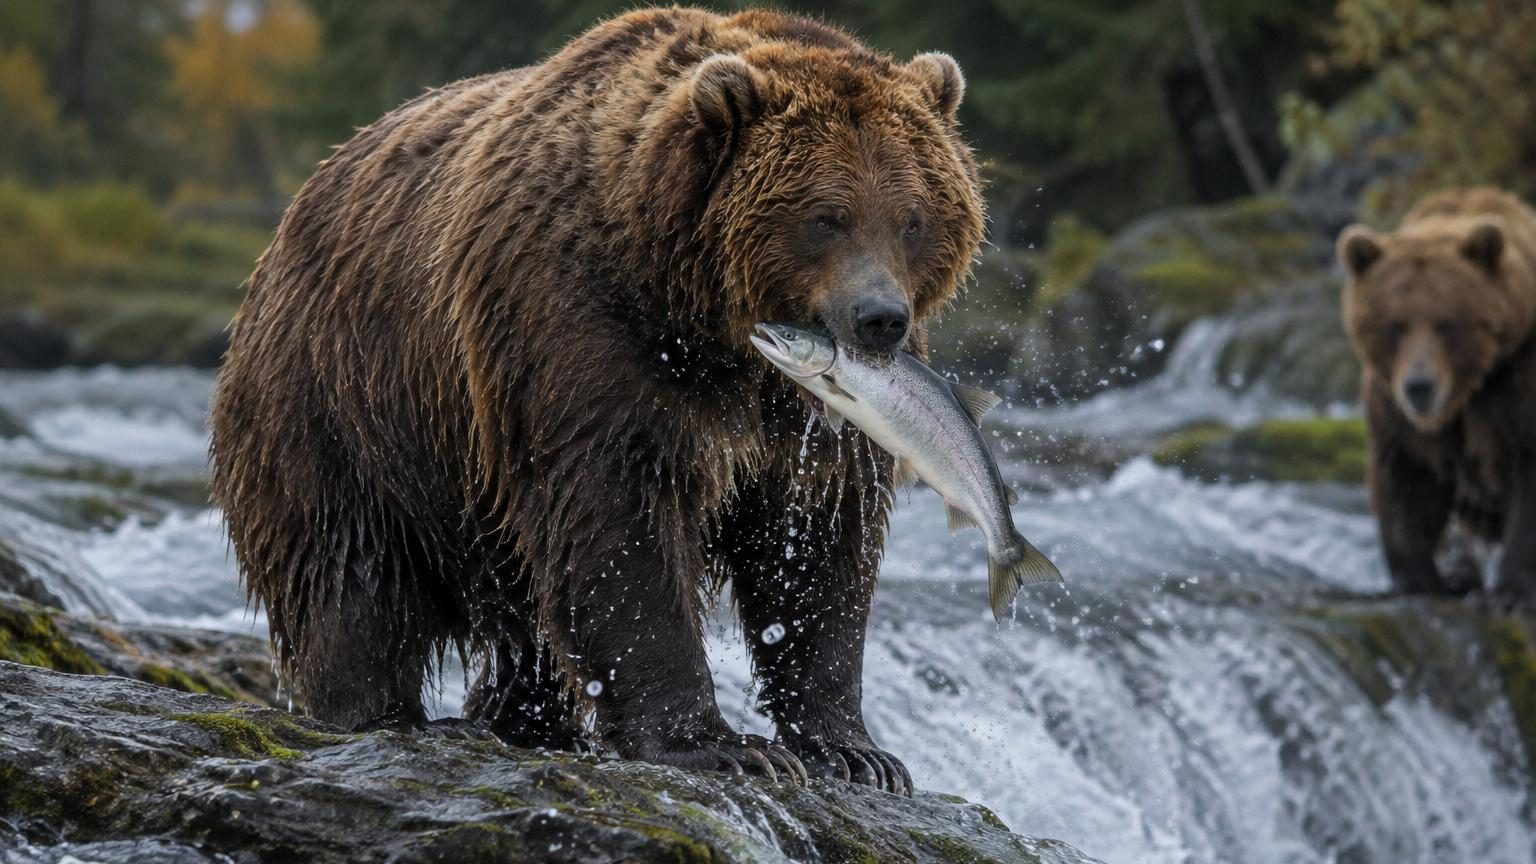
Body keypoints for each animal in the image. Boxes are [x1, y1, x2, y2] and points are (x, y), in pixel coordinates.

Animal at [209, 7, 984, 794]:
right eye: (825, 216)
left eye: (913, 216)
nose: (879, 318)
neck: (707, 317)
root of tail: (293, 215)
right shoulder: (581, 326)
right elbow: (617, 521)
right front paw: (721, 744)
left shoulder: (813, 417)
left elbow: (818, 537)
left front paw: (857, 752)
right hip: (344, 397)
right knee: (351, 571)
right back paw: (379, 713)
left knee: (522, 617)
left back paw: (517, 718)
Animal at [1337, 187, 1536, 607]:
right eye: (1394, 325)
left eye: (1447, 323)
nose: (1419, 386)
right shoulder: (1396, 410)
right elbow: (1406, 478)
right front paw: (1416, 581)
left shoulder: (1517, 384)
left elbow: (1528, 473)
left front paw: (1510, 593)